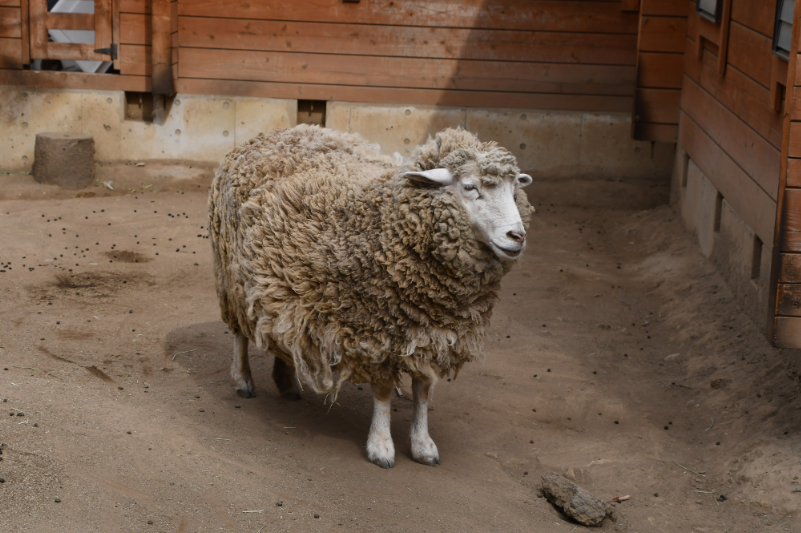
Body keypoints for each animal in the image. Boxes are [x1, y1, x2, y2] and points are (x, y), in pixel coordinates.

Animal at [208, 124, 532, 466]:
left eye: (514, 192)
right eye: (470, 187)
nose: (517, 236)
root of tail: (273, 133)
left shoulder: (431, 334)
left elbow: (423, 390)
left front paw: (423, 444)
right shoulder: (376, 331)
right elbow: (383, 392)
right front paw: (381, 445)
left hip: (278, 288)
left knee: (284, 334)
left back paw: (288, 383)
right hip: (230, 276)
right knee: (239, 334)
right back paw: (242, 379)